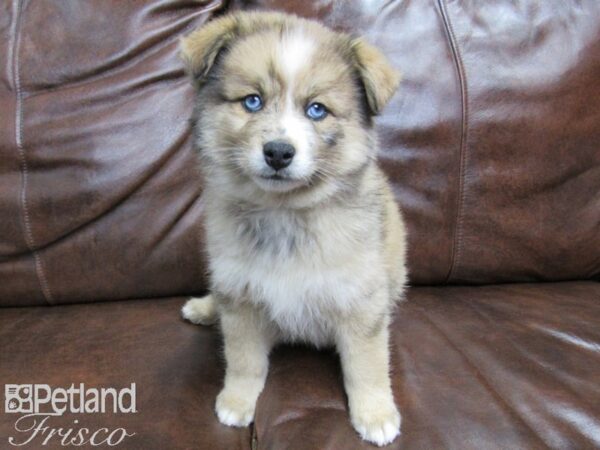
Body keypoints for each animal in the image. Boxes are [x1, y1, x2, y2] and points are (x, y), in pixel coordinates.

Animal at [180, 11, 406, 446]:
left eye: (317, 110)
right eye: (252, 101)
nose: (279, 153)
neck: (284, 212)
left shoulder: (361, 301)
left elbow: (366, 365)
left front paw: (375, 414)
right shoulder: (241, 296)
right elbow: (244, 359)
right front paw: (237, 400)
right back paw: (204, 307)